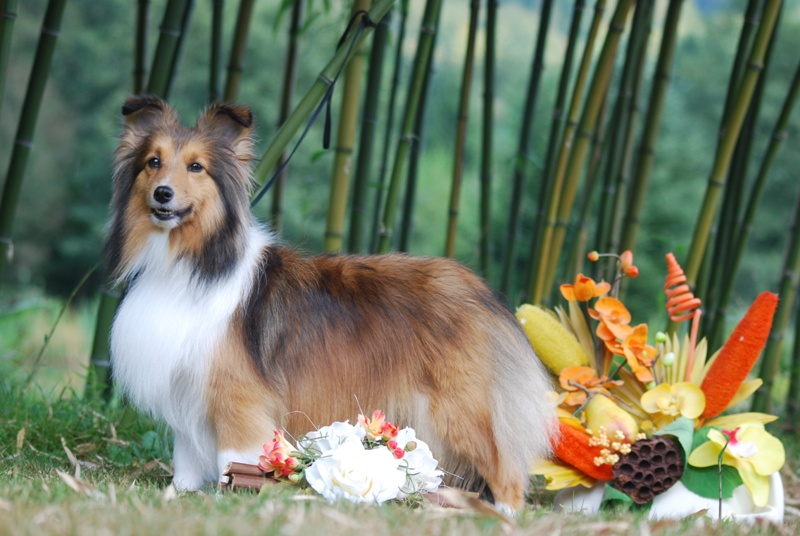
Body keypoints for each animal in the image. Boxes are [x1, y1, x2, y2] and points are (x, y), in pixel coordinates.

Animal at [106, 95, 556, 510]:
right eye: (153, 162)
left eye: (196, 167)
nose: (163, 194)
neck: (191, 262)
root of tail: (483, 292)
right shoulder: (185, 389)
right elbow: (185, 458)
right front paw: (178, 494)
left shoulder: (237, 397)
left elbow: (233, 456)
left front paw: (230, 497)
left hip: (463, 411)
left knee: (506, 470)